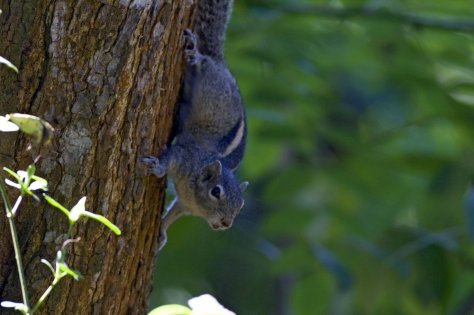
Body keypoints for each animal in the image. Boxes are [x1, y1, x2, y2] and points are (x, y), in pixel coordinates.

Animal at [142, 0, 248, 252]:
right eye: (215, 192)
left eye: (241, 204)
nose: (226, 223)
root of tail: (222, 61)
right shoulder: (184, 156)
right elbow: (170, 156)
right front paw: (158, 167)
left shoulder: (184, 204)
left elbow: (173, 213)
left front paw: (161, 233)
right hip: (212, 77)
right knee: (204, 62)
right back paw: (195, 53)